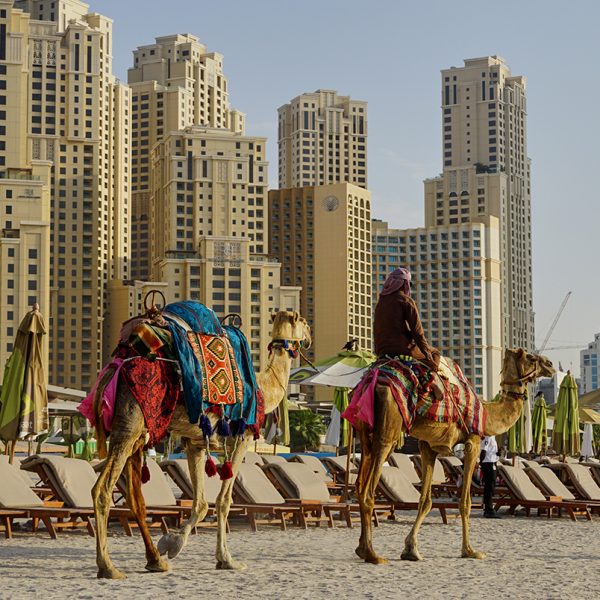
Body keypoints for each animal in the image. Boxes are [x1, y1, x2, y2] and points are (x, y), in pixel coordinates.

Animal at [91, 308, 312, 580]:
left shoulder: (195, 442)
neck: (264, 387)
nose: (309, 337)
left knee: (134, 497)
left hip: (135, 430)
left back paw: (155, 561)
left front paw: (171, 544)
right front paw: (226, 559)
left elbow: (201, 503)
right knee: (102, 490)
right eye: (304, 322)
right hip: (131, 423)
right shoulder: (242, 439)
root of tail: (114, 369)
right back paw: (108, 567)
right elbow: (224, 501)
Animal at [354, 350, 556, 564]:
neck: (486, 414)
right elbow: (465, 502)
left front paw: (411, 550)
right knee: (369, 490)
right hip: (389, 430)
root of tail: (371, 382)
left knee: (359, 485)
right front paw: (469, 550)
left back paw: (361, 548)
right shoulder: (472, 442)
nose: (550, 364)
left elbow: (425, 501)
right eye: (531, 358)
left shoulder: (428, 446)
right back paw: (372, 554)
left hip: (366, 433)